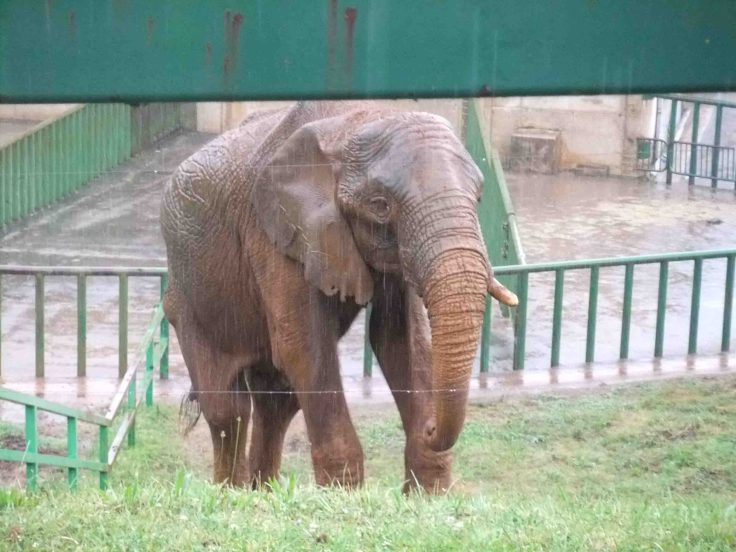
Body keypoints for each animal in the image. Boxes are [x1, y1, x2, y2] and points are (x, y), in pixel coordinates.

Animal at [161, 101, 518, 493]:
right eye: (380, 205)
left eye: (479, 198)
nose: (430, 427)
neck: (354, 120)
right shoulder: (275, 234)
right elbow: (304, 348)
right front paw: (343, 493)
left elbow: (400, 342)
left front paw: (427, 495)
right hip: (188, 299)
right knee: (228, 409)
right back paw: (233, 493)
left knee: (276, 403)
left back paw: (261, 494)